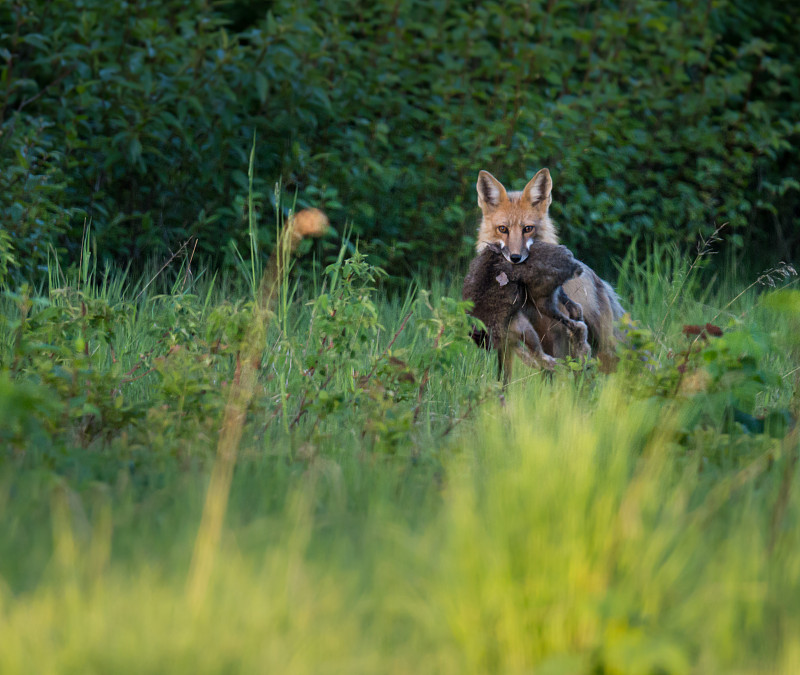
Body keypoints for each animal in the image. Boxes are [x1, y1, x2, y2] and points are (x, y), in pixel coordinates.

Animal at [476, 167, 624, 372]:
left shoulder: (553, 334)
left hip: (602, 344)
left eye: (528, 229)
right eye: (503, 229)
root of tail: (600, 282)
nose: (515, 258)